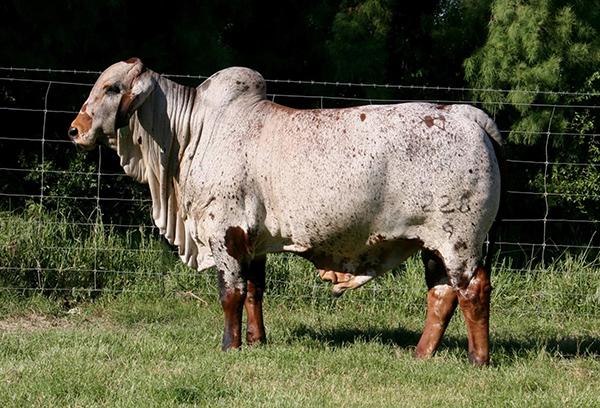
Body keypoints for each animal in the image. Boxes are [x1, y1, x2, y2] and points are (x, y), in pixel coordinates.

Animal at [68, 58, 504, 366]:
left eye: (112, 87)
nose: (74, 129)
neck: (194, 133)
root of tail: (465, 114)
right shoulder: (252, 241)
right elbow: (254, 291)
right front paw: (257, 341)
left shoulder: (224, 231)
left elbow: (231, 292)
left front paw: (230, 346)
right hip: (432, 243)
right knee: (442, 295)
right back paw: (421, 354)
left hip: (459, 240)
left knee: (472, 290)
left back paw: (477, 360)